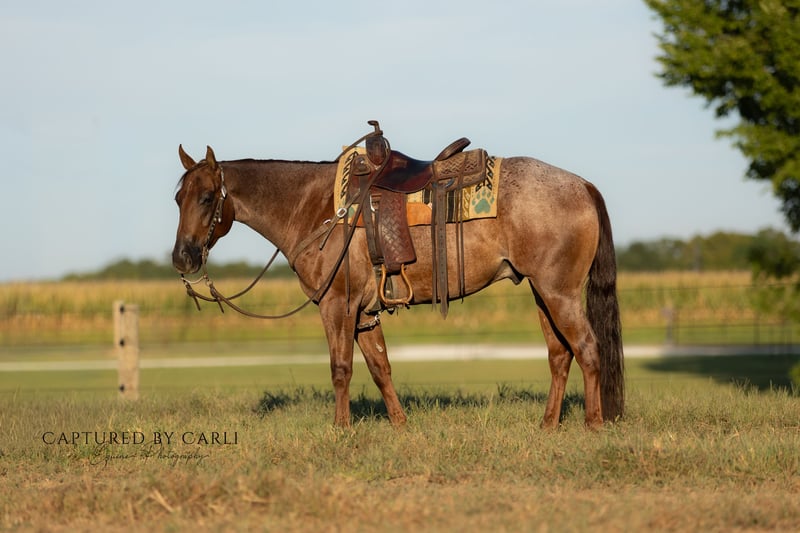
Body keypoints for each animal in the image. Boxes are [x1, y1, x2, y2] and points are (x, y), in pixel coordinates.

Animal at [172, 133, 624, 429]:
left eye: (207, 197)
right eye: (178, 198)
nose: (182, 257)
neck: (315, 208)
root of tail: (583, 185)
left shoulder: (337, 305)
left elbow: (341, 368)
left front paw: (341, 430)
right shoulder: (364, 313)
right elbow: (380, 367)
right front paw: (401, 425)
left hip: (559, 293)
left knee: (587, 349)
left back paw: (593, 424)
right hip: (541, 291)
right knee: (559, 355)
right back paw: (548, 425)